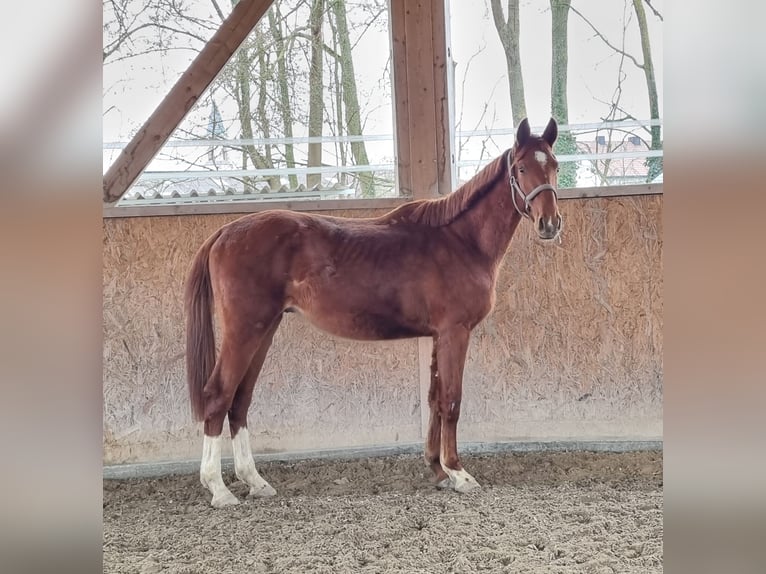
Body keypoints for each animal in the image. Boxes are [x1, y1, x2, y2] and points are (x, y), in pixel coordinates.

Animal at [186, 118, 564, 508]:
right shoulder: (455, 332)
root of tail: (225, 231)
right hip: (246, 329)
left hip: (264, 330)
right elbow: (451, 400)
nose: (549, 224)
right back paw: (218, 488)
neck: (460, 241)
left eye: (554, 165)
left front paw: (438, 470)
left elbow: (434, 399)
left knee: (240, 400)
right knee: (218, 395)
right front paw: (459, 473)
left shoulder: (437, 336)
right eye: (522, 168)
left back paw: (255, 481)